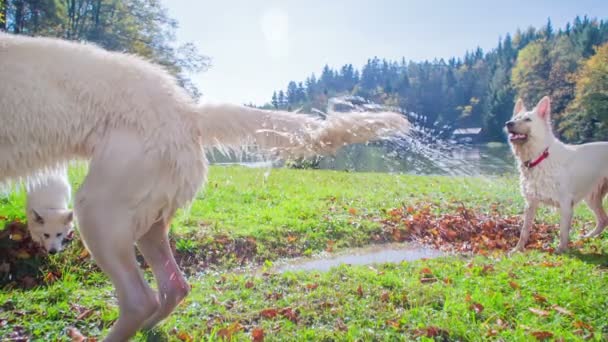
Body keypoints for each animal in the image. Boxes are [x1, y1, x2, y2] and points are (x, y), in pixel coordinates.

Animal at [1, 32, 408, 340]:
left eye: (56, 238)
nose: (53, 250)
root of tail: (189, 111)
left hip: (98, 211)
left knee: (140, 298)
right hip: (142, 217)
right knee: (173, 287)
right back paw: (150, 327)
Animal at [506, 96, 608, 254]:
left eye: (528, 119)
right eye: (515, 118)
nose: (508, 123)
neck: (541, 156)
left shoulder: (566, 205)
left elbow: (563, 231)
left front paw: (561, 250)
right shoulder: (530, 203)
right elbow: (524, 230)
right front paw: (517, 249)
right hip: (592, 198)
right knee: (603, 220)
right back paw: (586, 238)